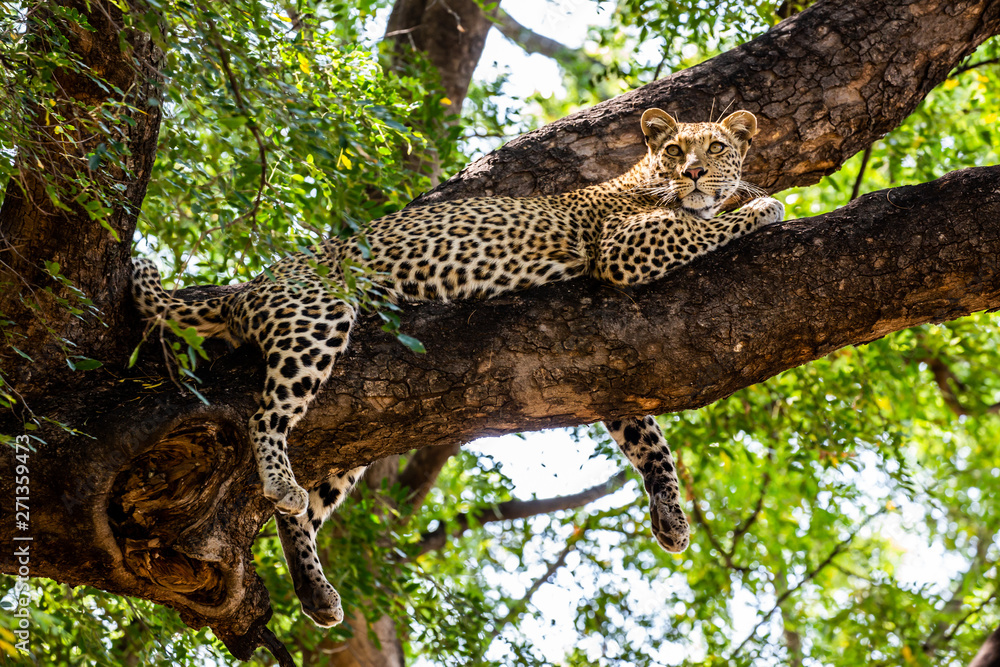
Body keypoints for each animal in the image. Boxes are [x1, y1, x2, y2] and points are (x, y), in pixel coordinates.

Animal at [131, 108, 784, 627]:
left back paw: (315, 590)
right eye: (676, 150)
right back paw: (279, 482)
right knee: (267, 417)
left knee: (304, 509)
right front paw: (764, 203)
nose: (694, 172)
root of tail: (249, 285)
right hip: (317, 316)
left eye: (716, 148)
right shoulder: (623, 249)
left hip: (358, 432)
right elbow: (705, 224)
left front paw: (671, 518)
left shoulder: (612, 371)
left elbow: (649, 441)